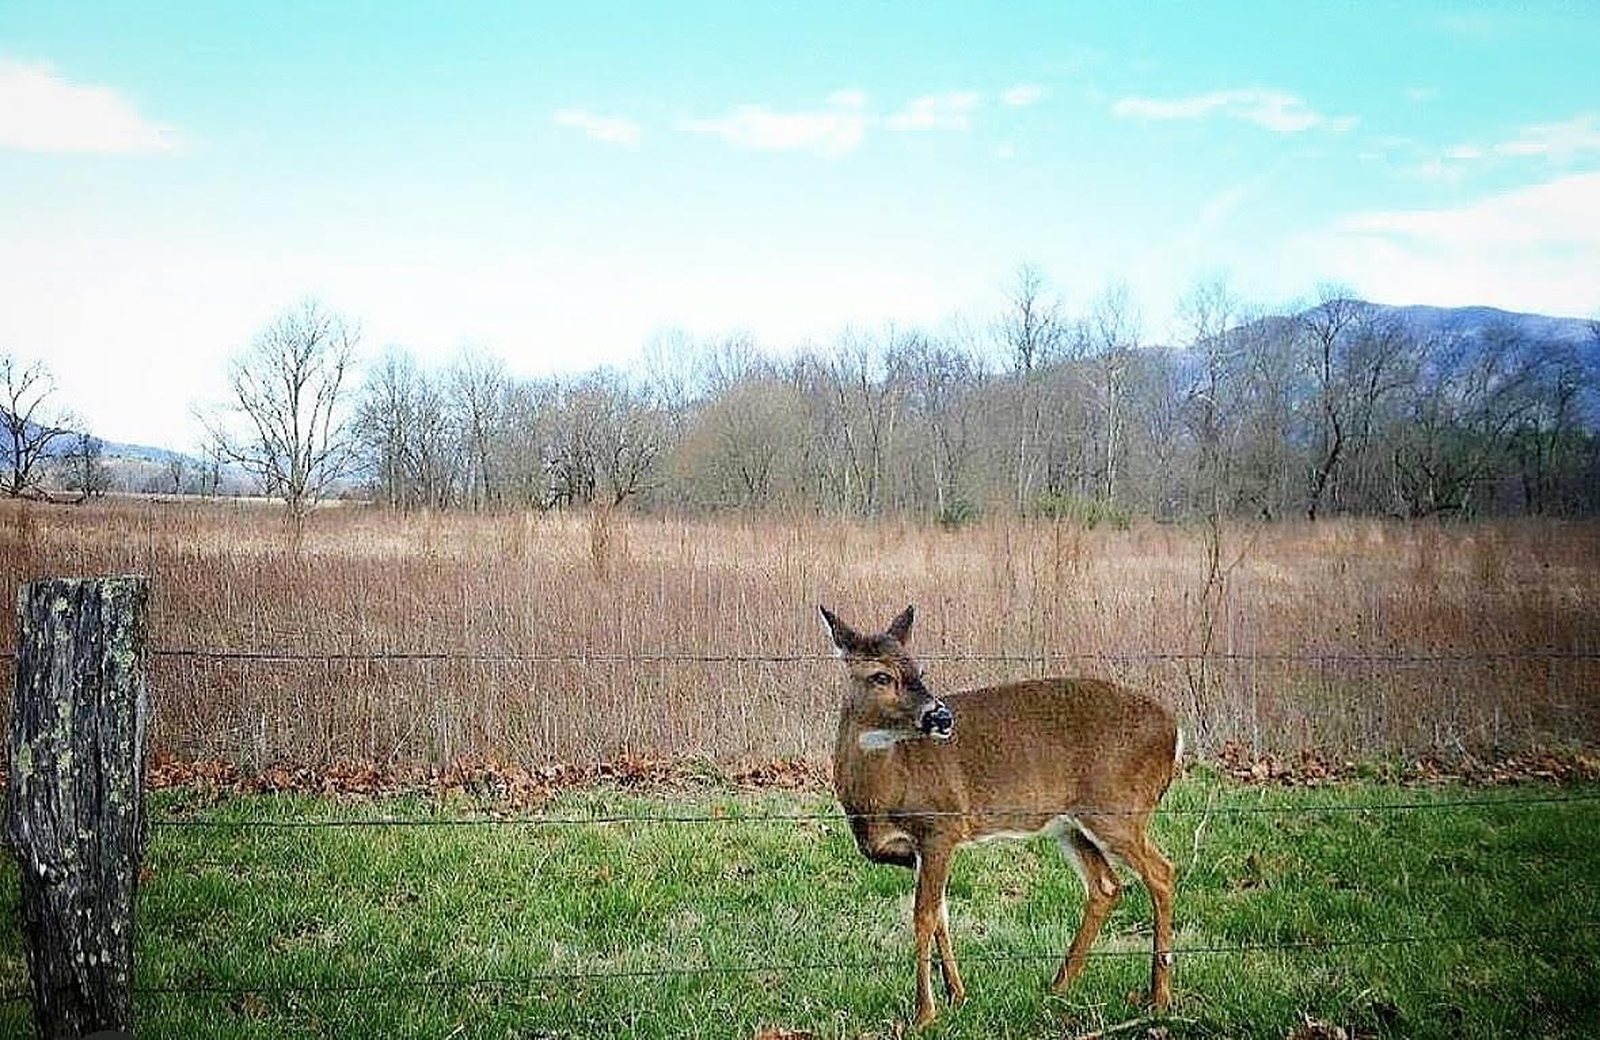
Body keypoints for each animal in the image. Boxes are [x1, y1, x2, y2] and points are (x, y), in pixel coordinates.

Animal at [822, 604, 1181, 1028]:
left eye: (919, 670)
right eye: (881, 676)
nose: (942, 718)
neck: (884, 789)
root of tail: (1175, 731)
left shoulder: (941, 826)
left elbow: (923, 915)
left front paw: (924, 1012)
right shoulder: (914, 852)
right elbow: (941, 912)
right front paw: (957, 994)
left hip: (1118, 809)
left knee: (1161, 872)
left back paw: (1159, 997)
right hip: (1071, 824)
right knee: (1106, 886)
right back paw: (1058, 986)